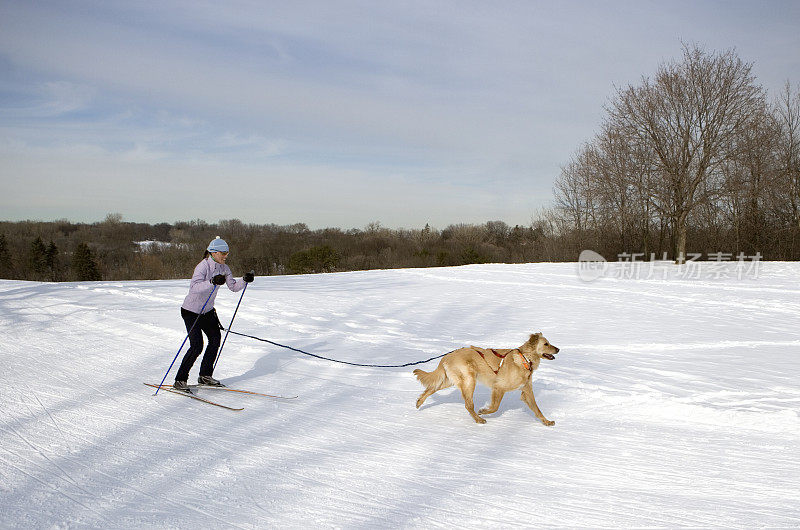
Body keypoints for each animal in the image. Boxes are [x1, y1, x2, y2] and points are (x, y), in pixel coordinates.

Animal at [416, 332, 560, 422]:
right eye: (546, 344)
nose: (558, 349)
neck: (525, 359)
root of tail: (447, 356)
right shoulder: (499, 387)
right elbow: (495, 407)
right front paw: (483, 411)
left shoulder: (526, 391)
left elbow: (537, 409)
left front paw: (547, 422)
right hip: (469, 380)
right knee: (468, 405)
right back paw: (478, 419)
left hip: (450, 380)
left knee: (431, 388)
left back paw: (419, 402)